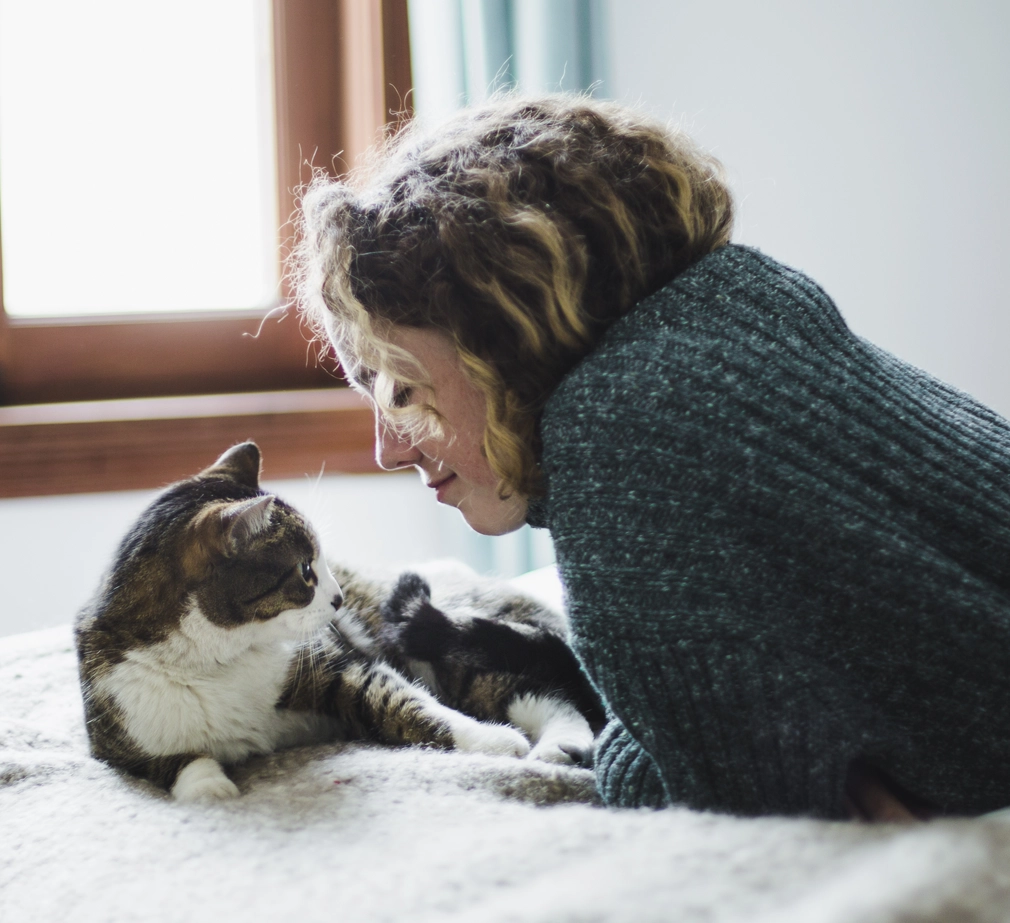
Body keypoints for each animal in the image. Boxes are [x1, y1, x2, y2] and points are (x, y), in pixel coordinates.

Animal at [76, 440, 606, 799]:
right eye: (305, 570)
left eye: (322, 563)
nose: (338, 599)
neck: (218, 661)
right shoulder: (116, 735)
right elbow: (173, 764)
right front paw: (210, 789)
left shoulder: (335, 665)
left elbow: (406, 703)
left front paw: (491, 740)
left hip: (442, 644)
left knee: (536, 693)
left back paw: (560, 745)